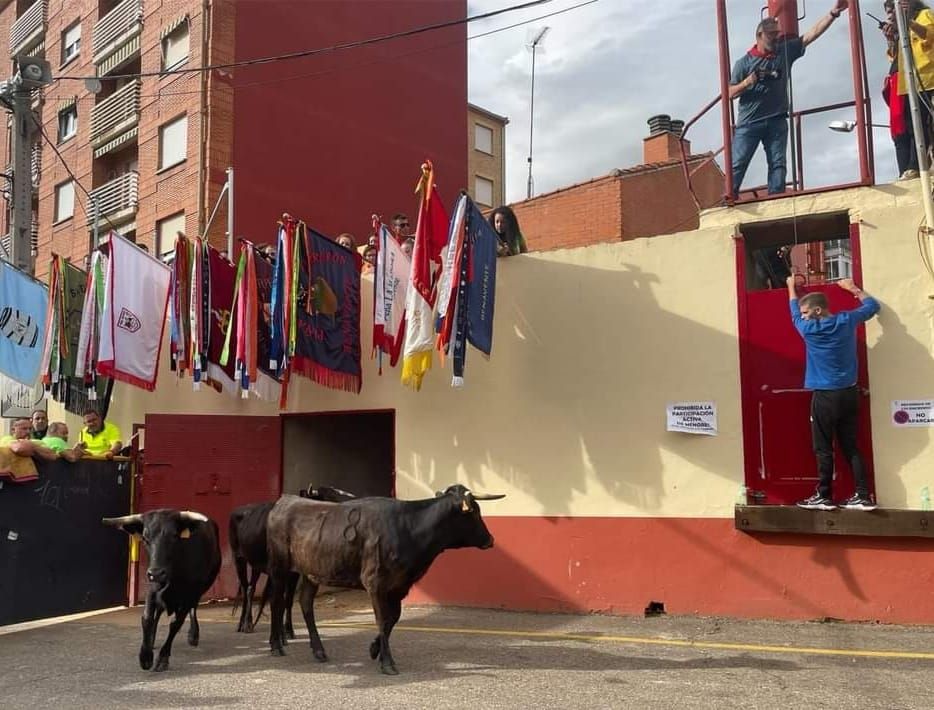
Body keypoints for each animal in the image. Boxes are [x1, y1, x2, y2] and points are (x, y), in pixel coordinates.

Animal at [102, 512, 221, 672]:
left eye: (174, 536)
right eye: (145, 538)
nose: (156, 573)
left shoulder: (189, 594)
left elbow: (176, 623)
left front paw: (163, 658)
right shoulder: (152, 590)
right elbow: (147, 618)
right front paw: (145, 656)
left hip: (202, 587)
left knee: (193, 608)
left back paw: (193, 634)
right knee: (158, 613)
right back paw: (152, 639)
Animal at [266, 486, 504, 676]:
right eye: (474, 512)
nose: (490, 539)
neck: (409, 527)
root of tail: (285, 501)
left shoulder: (399, 586)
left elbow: (392, 619)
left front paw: (375, 649)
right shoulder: (375, 583)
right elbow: (382, 620)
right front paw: (387, 663)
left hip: (311, 572)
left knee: (306, 603)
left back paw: (318, 650)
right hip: (279, 569)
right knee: (277, 602)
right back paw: (276, 645)